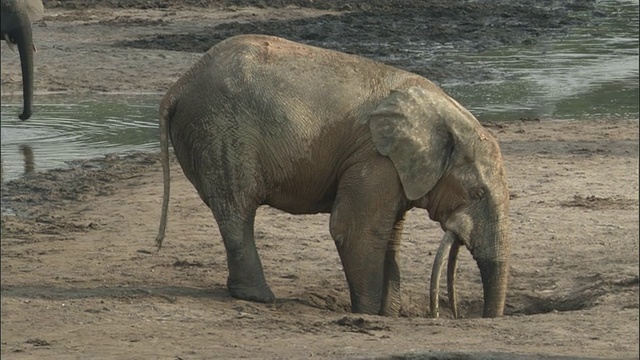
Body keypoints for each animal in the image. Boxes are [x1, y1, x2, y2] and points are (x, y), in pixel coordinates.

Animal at [158, 34, 512, 318]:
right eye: (477, 193)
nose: (454, 314)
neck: (440, 114)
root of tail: (179, 84)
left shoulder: (393, 169)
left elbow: (389, 236)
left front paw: (389, 314)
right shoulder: (374, 158)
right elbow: (355, 230)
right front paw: (368, 314)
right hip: (221, 132)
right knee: (237, 210)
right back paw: (259, 298)